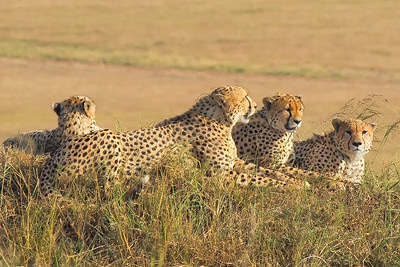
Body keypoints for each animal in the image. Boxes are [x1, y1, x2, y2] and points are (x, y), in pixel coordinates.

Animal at [39, 86, 310, 197]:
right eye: (244, 97)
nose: (253, 105)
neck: (220, 120)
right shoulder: (219, 175)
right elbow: (261, 179)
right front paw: (297, 187)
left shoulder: (236, 163)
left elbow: (269, 172)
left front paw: (299, 182)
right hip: (111, 140)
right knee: (110, 187)